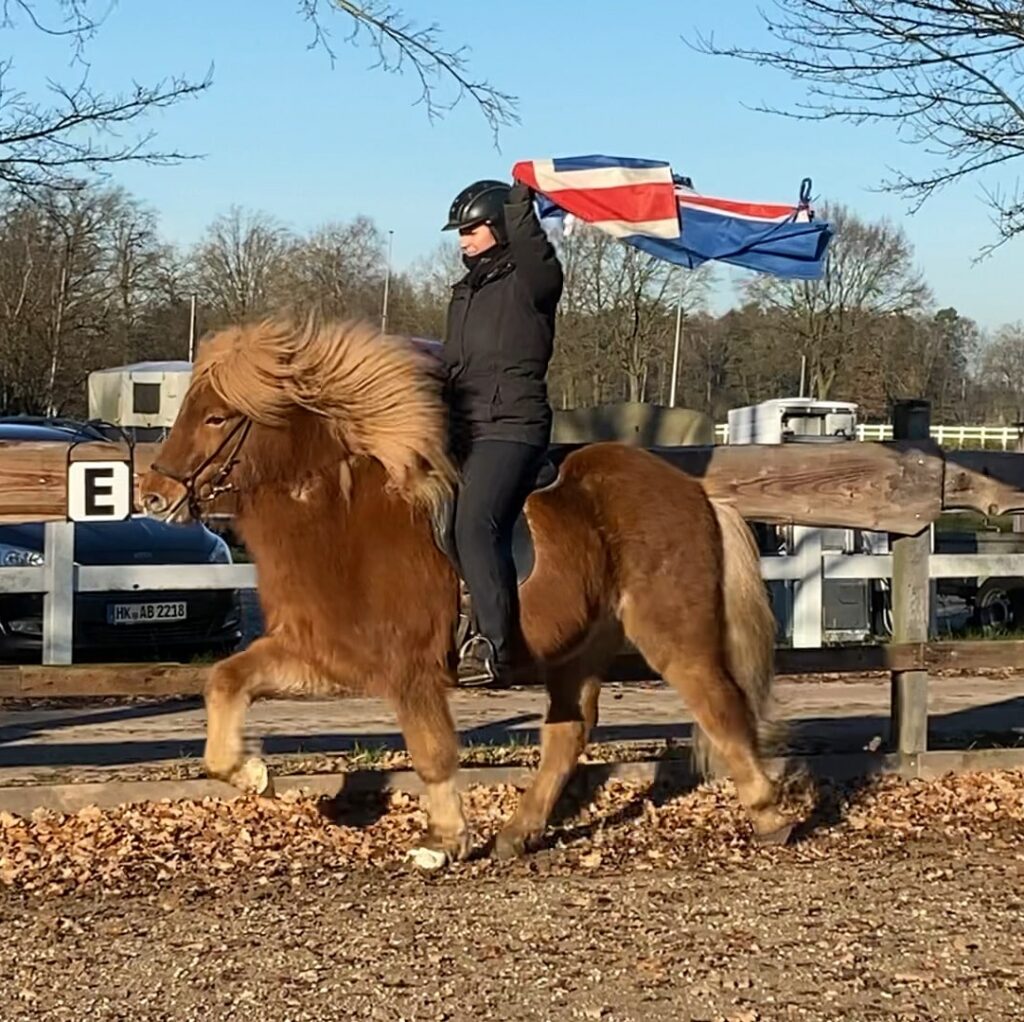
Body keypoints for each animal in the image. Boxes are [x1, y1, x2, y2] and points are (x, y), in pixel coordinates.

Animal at [138, 315, 790, 860]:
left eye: (216, 417)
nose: (153, 495)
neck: (338, 518)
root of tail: (694, 490)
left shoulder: (411, 669)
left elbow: (432, 752)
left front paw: (444, 840)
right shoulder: (319, 654)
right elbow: (224, 681)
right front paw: (250, 773)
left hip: (672, 632)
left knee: (720, 704)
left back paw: (768, 814)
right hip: (578, 648)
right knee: (570, 729)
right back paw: (519, 832)